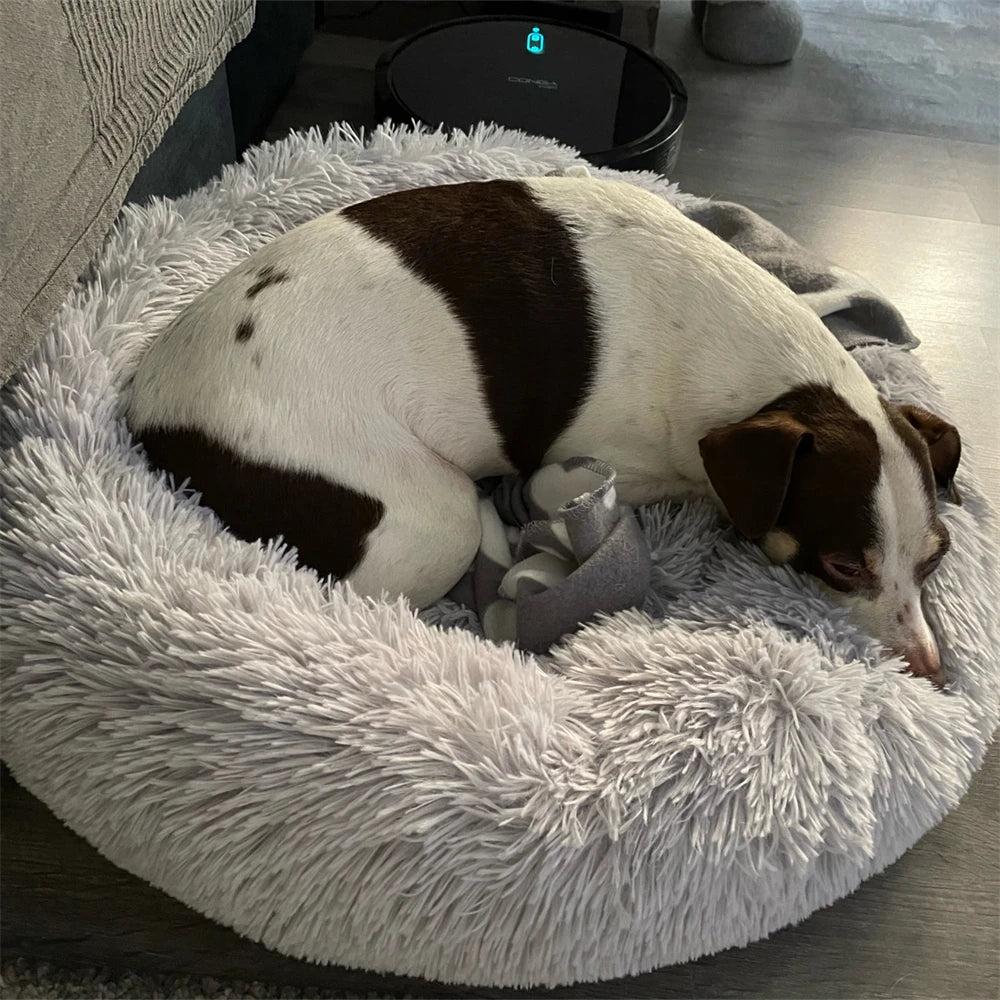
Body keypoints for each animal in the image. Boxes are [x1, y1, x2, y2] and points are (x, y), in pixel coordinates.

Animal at [125, 174, 960, 688]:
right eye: (842, 566)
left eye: (935, 559)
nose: (929, 669)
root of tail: (150, 413)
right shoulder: (593, 465)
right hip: (427, 517)